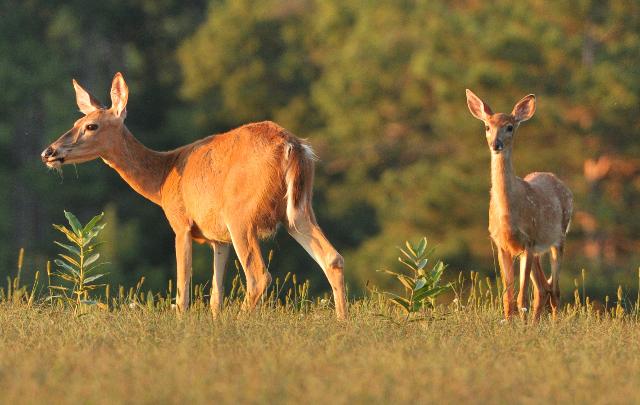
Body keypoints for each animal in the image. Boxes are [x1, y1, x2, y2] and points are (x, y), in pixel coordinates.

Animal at [42, 72, 348, 318]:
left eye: (91, 126)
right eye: (76, 121)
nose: (49, 152)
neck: (162, 179)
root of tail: (293, 146)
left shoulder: (181, 224)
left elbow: (182, 294)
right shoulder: (217, 238)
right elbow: (215, 296)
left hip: (241, 215)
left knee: (259, 276)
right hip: (298, 210)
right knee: (332, 258)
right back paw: (341, 324)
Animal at [462, 89, 572, 318]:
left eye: (510, 127)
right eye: (487, 127)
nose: (496, 144)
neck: (508, 216)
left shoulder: (528, 242)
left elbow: (521, 298)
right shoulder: (500, 245)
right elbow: (508, 299)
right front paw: (511, 322)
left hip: (559, 238)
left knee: (555, 289)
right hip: (539, 250)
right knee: (543, 288)